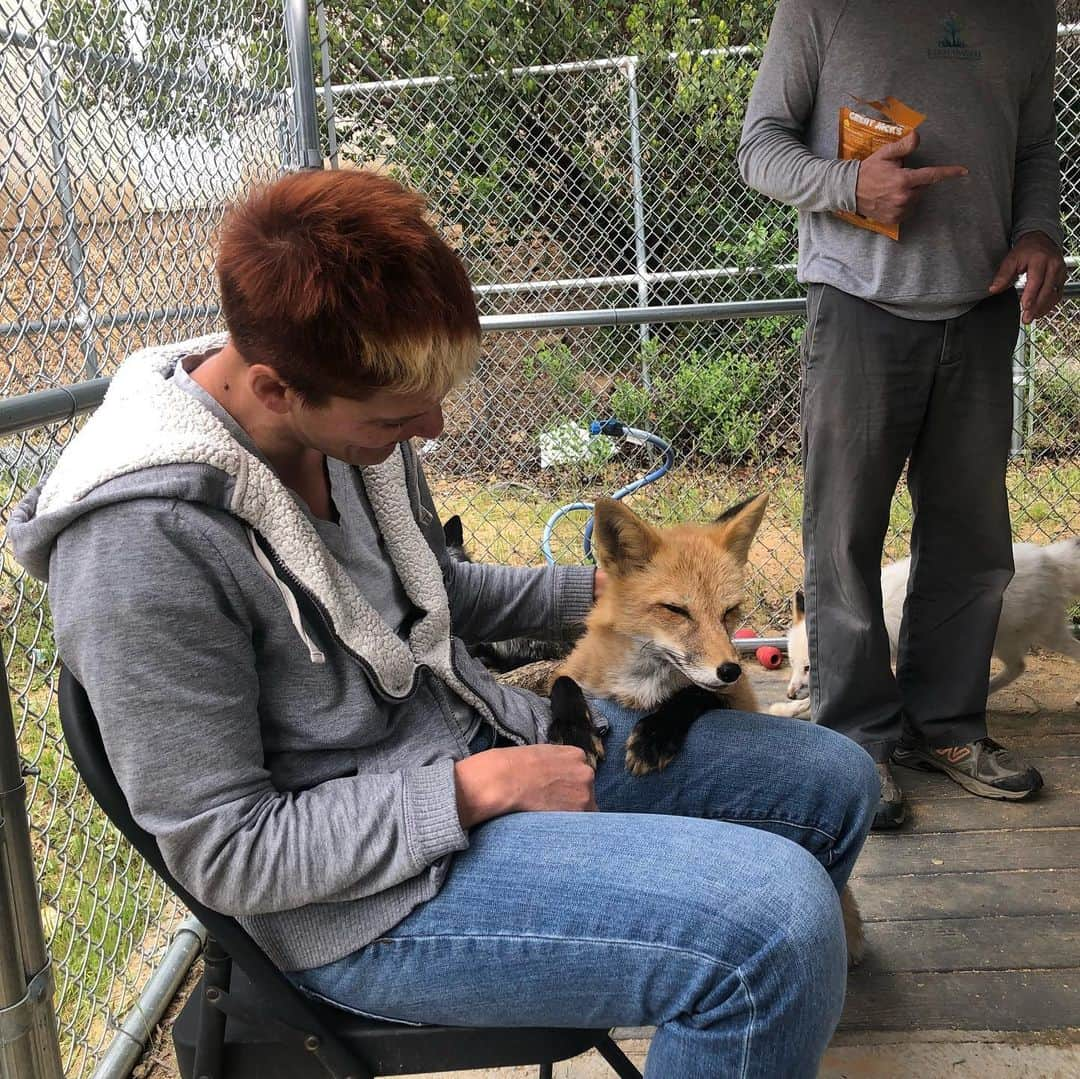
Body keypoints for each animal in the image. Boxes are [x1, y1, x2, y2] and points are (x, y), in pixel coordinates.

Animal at [548, 494, 868, 967]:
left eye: (729, 612)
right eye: (676, 610)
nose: (731, 668)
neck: (645, 684)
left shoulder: (734, 697)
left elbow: (696, 695)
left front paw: (655, 736)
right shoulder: (578, 671)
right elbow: (563, 682)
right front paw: (572, 731)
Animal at [773, 537, 1075, 717]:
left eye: (808, 667)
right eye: (793, 664)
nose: (788, 692)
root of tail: (1047, 558)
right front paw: (787, 708)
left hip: (1027, 637)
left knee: (1030, 663)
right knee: (1019, 667)